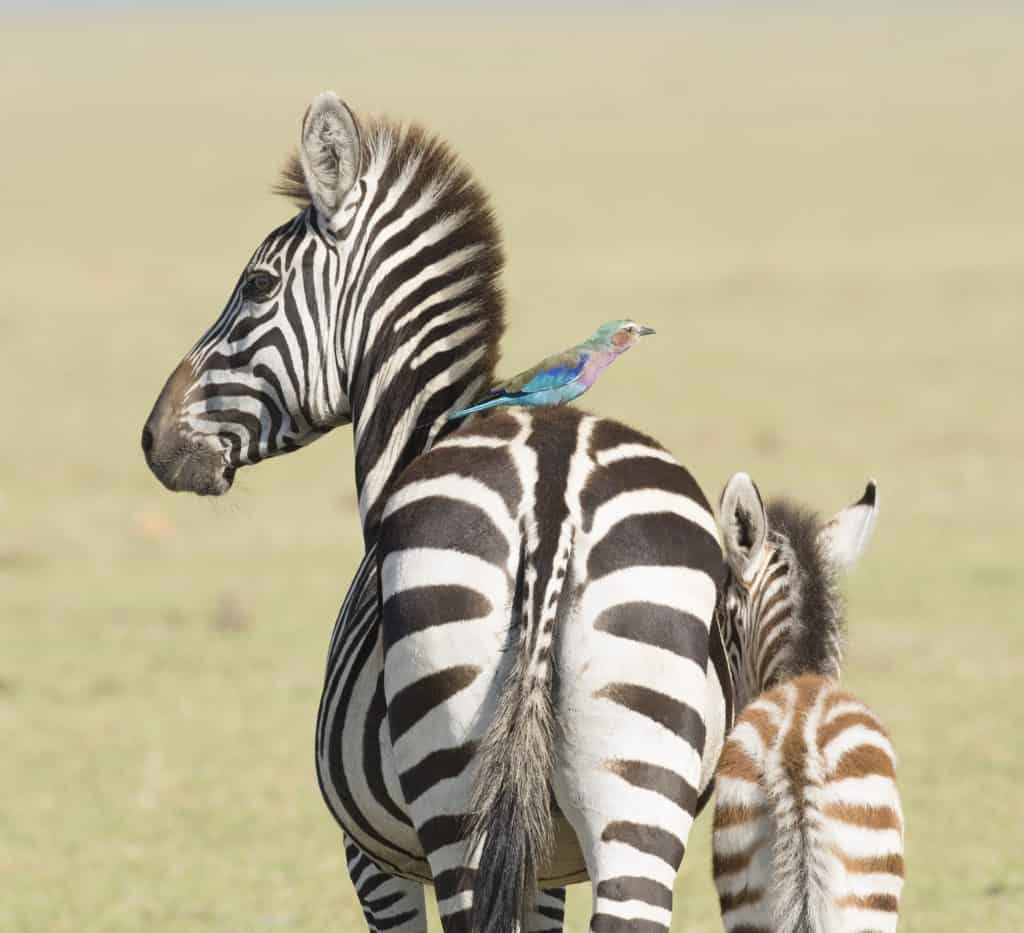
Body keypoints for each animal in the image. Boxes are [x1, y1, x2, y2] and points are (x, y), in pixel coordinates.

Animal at [140, 91, 731, 931]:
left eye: (256, 286)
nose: (153, 438)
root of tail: (553, 494)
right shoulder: (545, 867)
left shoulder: (374, 861)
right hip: (638, 791)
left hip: (456, 800)